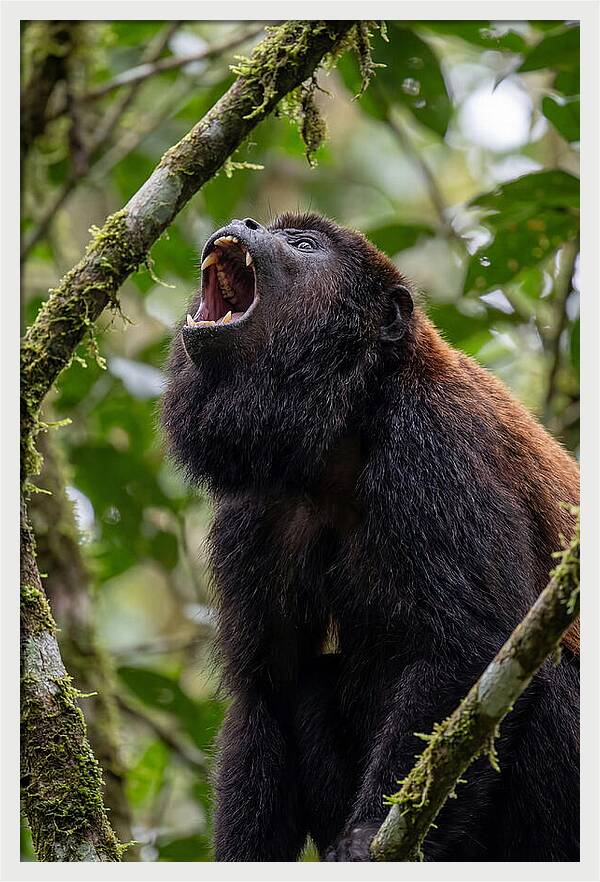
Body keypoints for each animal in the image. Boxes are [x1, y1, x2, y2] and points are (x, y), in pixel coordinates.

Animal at [161, 213, 579, 862]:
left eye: (304, 246)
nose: (245, 222)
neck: (348, 425)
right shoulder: (256, 508)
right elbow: (267, 690)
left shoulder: (433, 445)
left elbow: (471, 646)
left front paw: (363, 837)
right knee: (308, 683)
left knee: (549, 672)